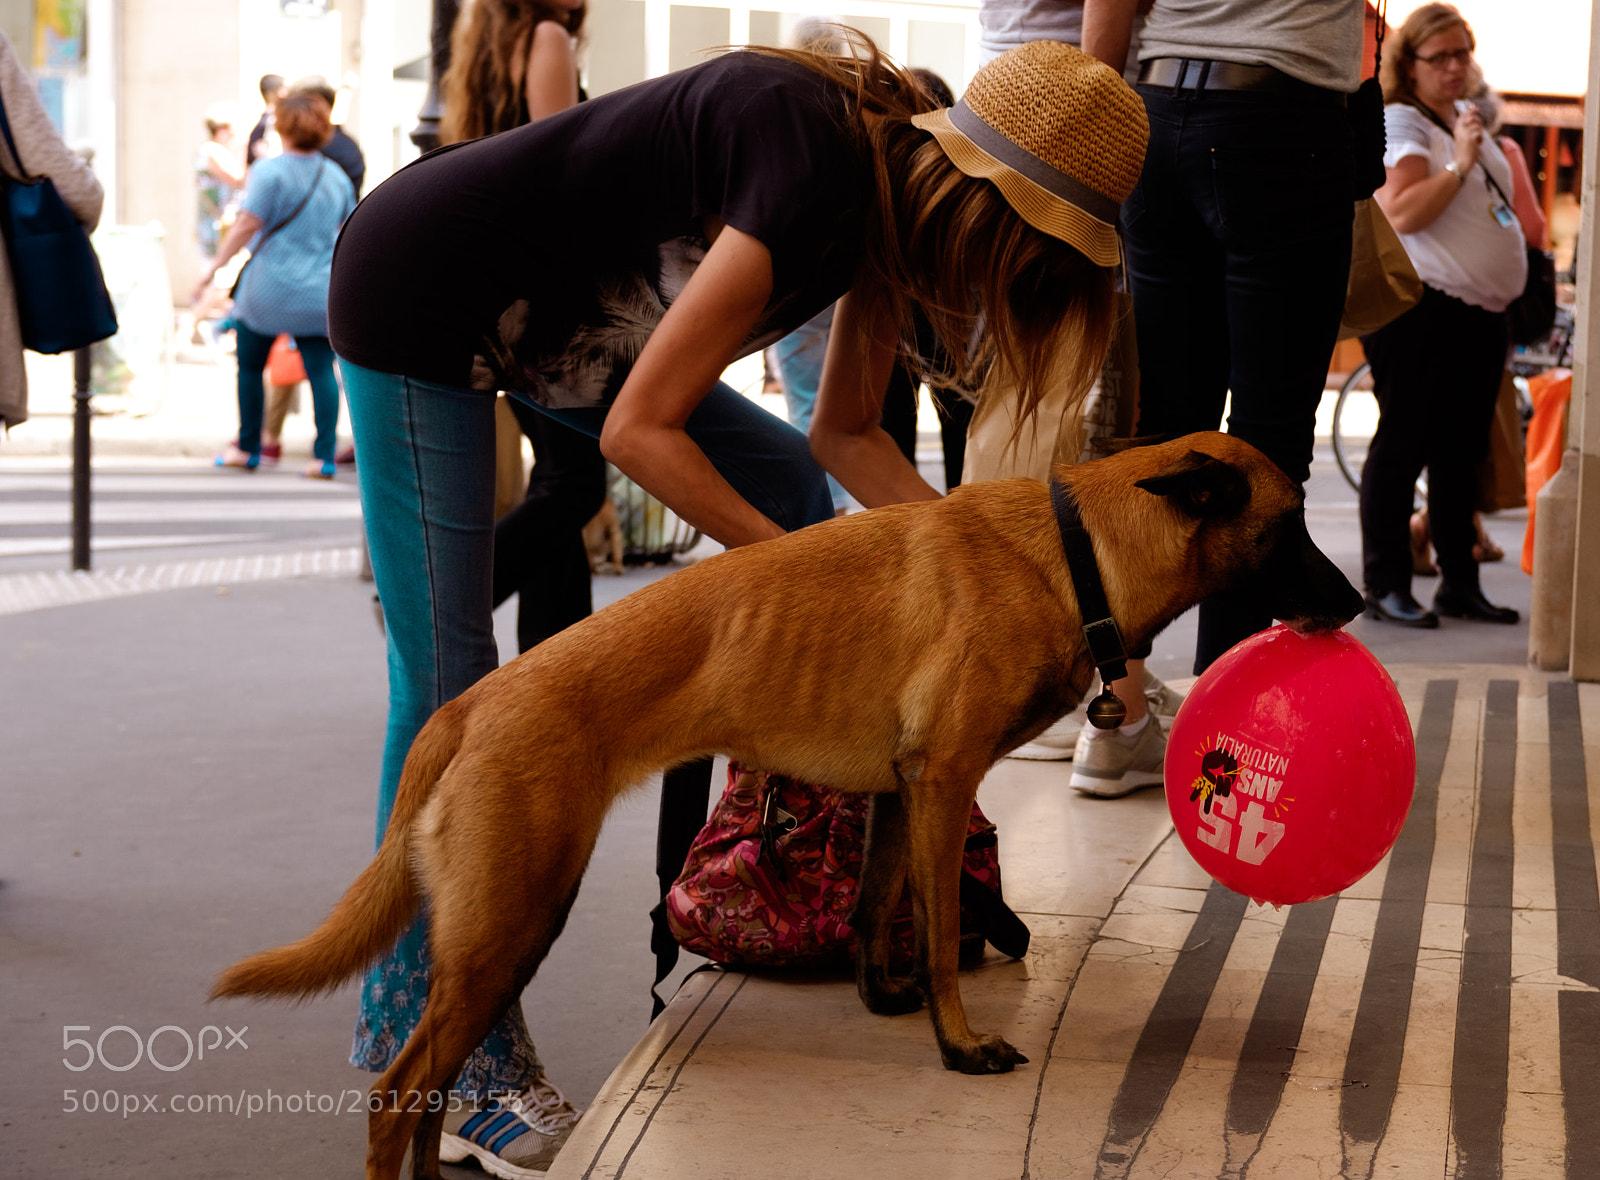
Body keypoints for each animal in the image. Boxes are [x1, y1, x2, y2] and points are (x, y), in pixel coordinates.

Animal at [212, 431, 1363, 1176]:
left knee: (425, 1098)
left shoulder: (903, 794)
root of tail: (470, 703)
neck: (1072, 549)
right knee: (393, 1097)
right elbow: (941, 935)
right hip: (509, 926)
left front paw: (884, 997)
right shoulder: (945, 781)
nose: (1355, 602)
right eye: (1289, 525)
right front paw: (958, 1043)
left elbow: (879, 905)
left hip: (500, 939)